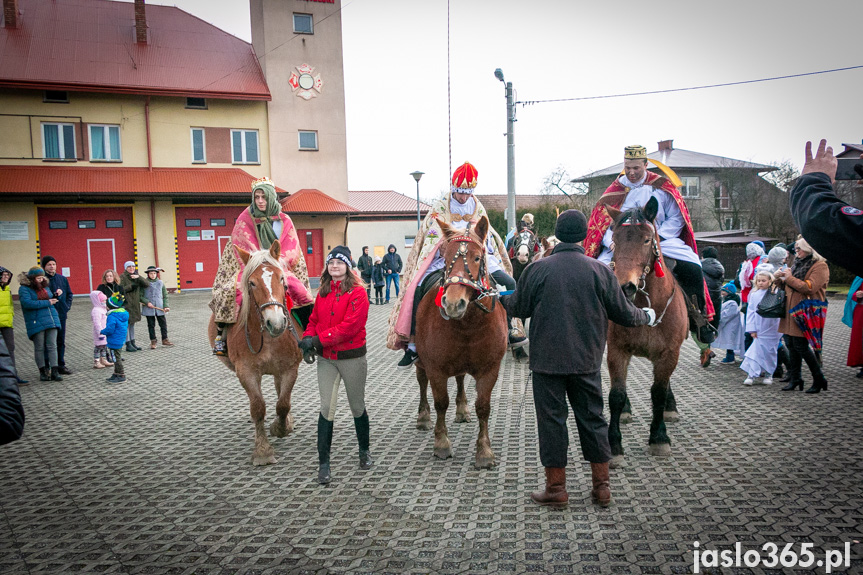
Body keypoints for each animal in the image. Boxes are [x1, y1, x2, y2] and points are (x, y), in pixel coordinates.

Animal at [208, 241, 304, 466]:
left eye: (281, 278)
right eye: (251, 283)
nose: (276, 323)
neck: (269, 338)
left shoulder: (289, 368)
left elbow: (283, 404)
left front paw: (280, 427)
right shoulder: (246, 371)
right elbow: (258, 408)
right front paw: (262, 450)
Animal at [412, 216, 506, 468]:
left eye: (477, 257)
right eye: (444, 257)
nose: (453, 303)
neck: (468, 325)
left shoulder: (490, 369)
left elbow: (483, 407)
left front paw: (484, 452)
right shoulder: (436, 368)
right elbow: (440, 402)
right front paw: (442, 443)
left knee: (461, 378)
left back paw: (462, 410)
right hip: (421, 361)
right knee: (422, 381)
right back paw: (423, 417)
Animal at [608, 198, 688, 468]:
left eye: (646, 239)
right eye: (614, 239)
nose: (625, 286)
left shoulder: (669, 354)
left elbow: (658, 392)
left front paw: (659, 437)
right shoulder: (617, 350)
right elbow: (616, 395)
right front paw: (615, 446)